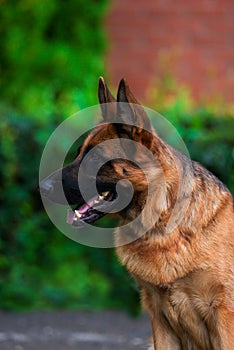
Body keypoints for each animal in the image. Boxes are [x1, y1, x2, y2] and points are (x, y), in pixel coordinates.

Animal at [39, 78, 233, 348]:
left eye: (95, 158)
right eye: (78, 154)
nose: (42, 187)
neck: (162, 225)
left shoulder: (223, 315)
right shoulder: (160, 318)